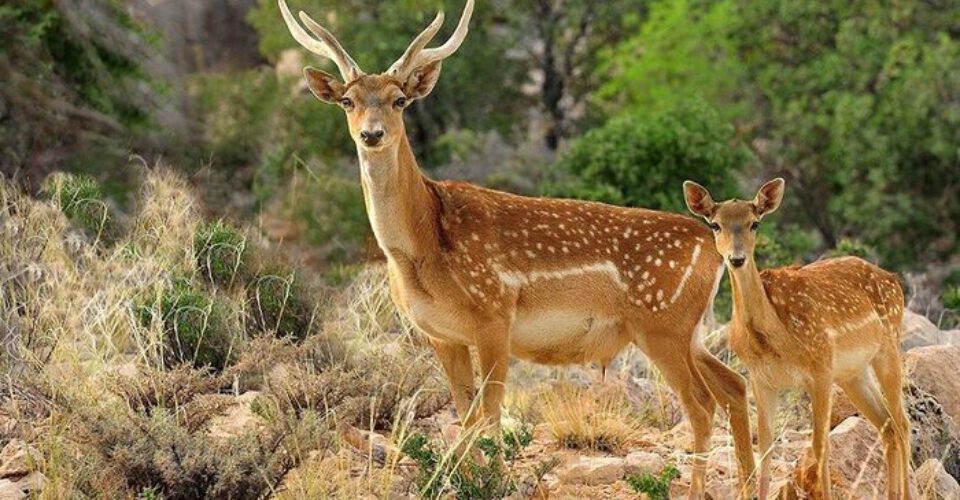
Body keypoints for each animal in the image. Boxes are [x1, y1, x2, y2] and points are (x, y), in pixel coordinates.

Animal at [278, 1, 756, 496]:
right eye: (348, 100)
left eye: (399, 100)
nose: (371, 134)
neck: (422, 247)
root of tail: (712, 244)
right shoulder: (441, 334)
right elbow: (465, 412)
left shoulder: (494, 313)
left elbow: (488, 415)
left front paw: (490, 481)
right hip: (689, 329)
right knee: (734, 386)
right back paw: (747, 484)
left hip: (662, 323)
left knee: (701, 404)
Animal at [684, 178, 908, 498]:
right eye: (715, 224)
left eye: (755, 223)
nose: (736, 258)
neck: (774, 339)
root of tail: (894, 280)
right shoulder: (762, 379)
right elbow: (765, 449)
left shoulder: (820, 368)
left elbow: (820, 446)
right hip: (852, 373)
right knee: (888, 426)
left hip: (888, 347)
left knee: (902, 424)